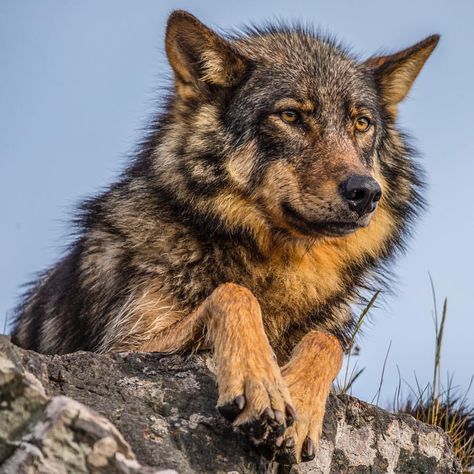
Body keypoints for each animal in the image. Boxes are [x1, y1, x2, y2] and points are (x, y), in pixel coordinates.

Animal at [11, 9, 438, 464]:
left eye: (361, 123)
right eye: (291, 116)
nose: (365, 192)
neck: (276, 265)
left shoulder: (328, 328)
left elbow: (326, 341)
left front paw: (301, 405)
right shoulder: (122, 349)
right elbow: (234, 293)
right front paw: (260, 381)